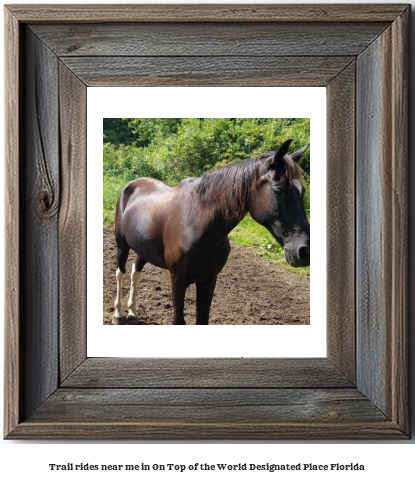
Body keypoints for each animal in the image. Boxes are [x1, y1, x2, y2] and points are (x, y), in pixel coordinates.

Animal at [112, 139, 310, 326]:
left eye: (302, 191)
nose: (304, 251)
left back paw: (132, 312)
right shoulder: (178, 281)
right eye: (278, 190)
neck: (198, 222)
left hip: (143, 249)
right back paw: (118, 314)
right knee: (120, 272)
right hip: (122, 244)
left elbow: (202, 319)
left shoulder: (208, 281)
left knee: (135, 271)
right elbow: (179, 320)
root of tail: (131, 185)